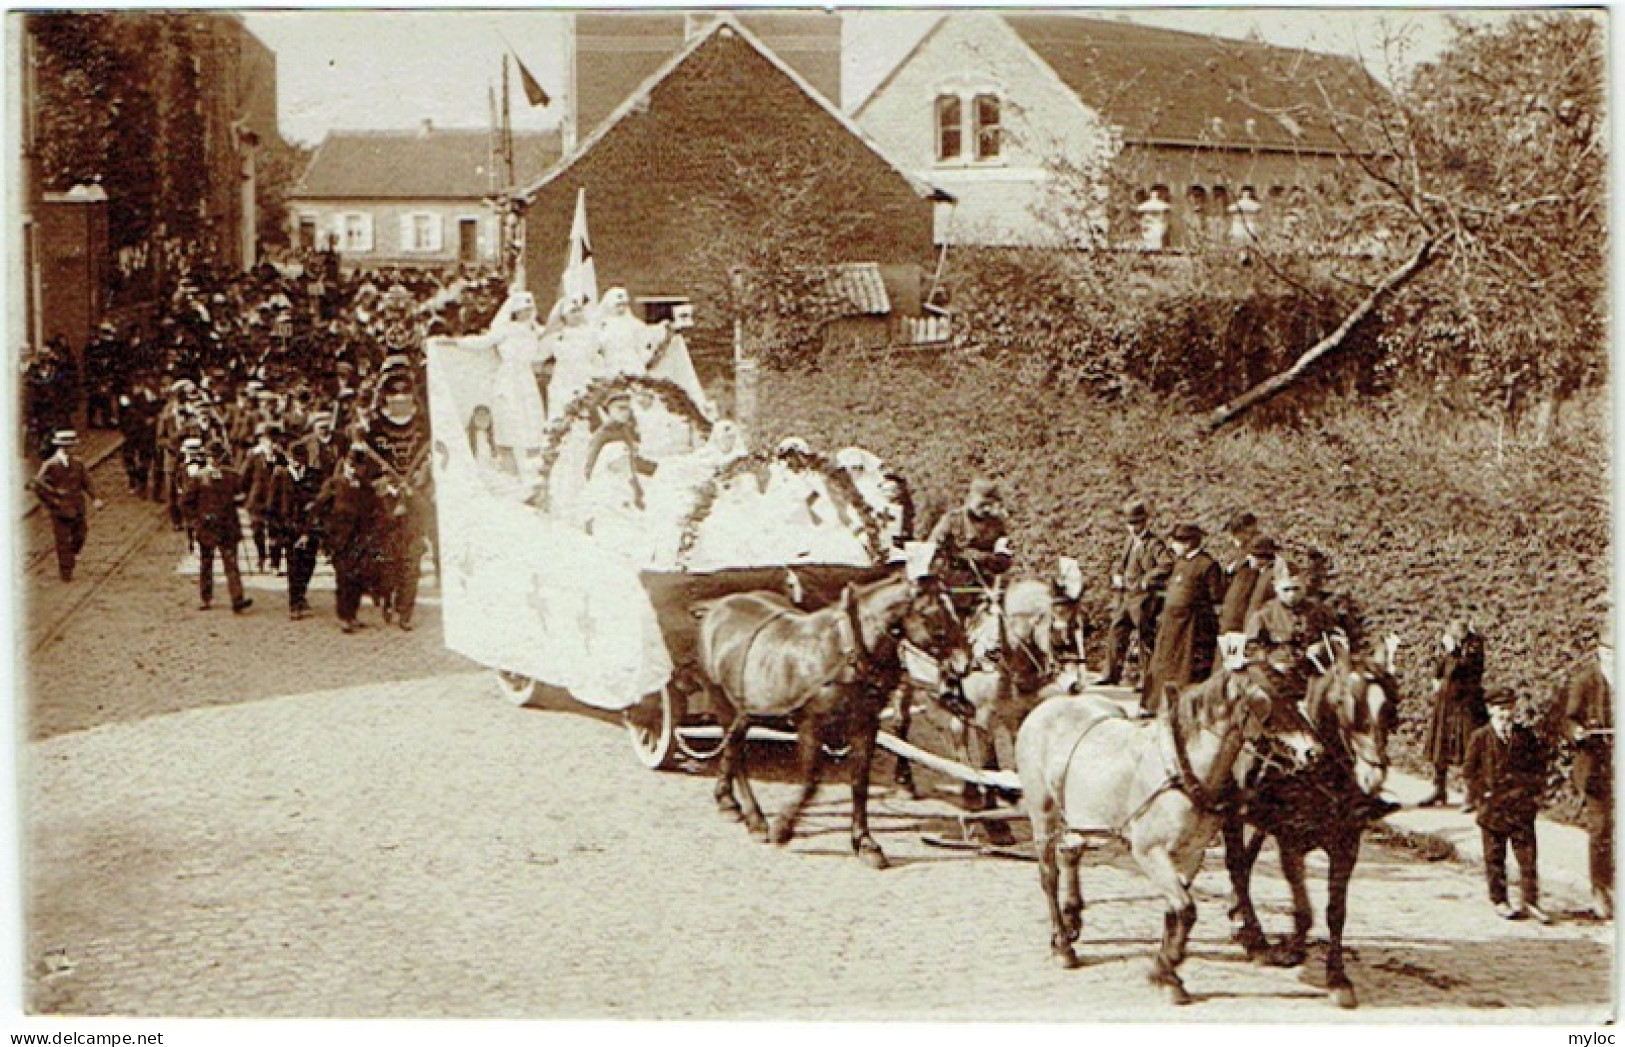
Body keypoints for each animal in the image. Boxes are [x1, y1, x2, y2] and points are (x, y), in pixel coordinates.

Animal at [695, 569, 962, 871]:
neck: (845, 651)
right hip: (721, 701)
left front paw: (865, 843)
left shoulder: (865, 725)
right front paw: (783, 828)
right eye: (931, 614)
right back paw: (753, 817)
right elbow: (811, 782)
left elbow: (859, 783)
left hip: (746, 712)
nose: (964, 664)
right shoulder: (811, 725)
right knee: (735, 753)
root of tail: (716, 607)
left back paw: (729, 803)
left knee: (733, 748)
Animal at [1014, 666, 1319, 1001]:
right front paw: (1168, 971)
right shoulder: (1149, 851)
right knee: (1049, 876)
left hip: (1079, 816)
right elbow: (1186, 909)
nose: (1313, 751)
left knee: (1070, 854)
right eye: (1276, 695)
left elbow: (1176, 912)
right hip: (1043, 814)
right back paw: (1062, 945)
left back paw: (1072, 921)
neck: (1183, 768)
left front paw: (1165, 971)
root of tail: (1050, 705)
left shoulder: (1190, 854)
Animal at [1222, 634, 1404, 1007]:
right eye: (1347, 704)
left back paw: (1240, 918)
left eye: (1389, 708)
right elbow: (1305, 910)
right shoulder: (1290, 842)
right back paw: (1255, 936)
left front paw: (1338, 977)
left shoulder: (1347, 846)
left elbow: (1336, 912)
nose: (1372, 777)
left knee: (1245, 862)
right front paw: (1291, 949)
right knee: (1236, 864)